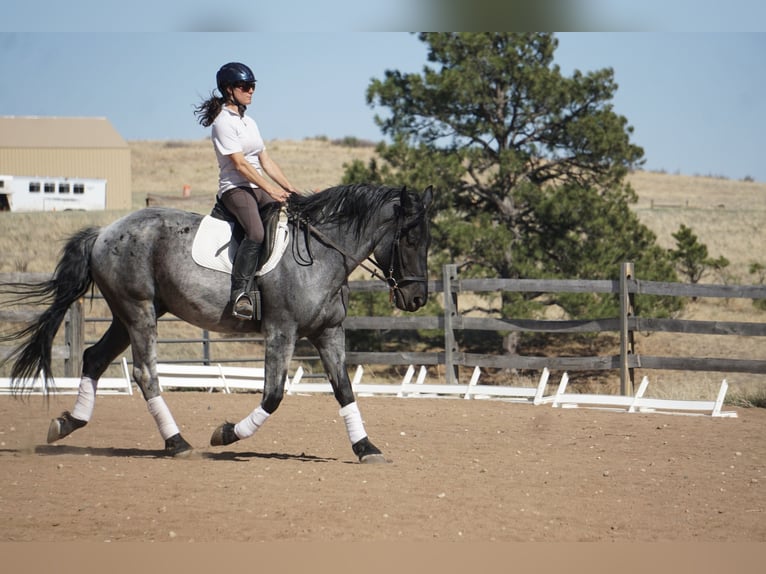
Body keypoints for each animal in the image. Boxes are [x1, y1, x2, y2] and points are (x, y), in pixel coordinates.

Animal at [0, 183, 432, 464]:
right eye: (410, 240)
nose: (417, 300)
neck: (322, 254)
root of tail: (104, 232)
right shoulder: (282, 331)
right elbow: (273, 395)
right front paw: (226, 435)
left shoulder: (328, 333)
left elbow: (344, 389)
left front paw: (366, 448)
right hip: (138, 311)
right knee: (144, 372)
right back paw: (177, 443)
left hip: (130, 313)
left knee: (94, 358)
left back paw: (67, 423)